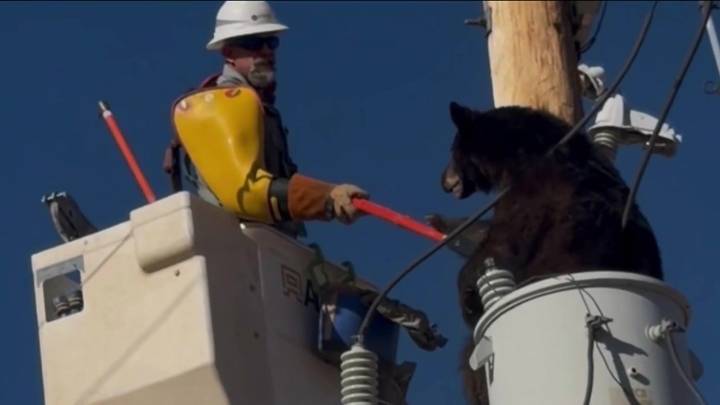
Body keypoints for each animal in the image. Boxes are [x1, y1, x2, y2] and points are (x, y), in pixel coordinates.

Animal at [441, 102, 663, 405]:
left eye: (452, 150)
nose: (443, 182)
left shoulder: (535, 196)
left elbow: (503, 244)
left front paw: (466, 293)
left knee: (470, 359)